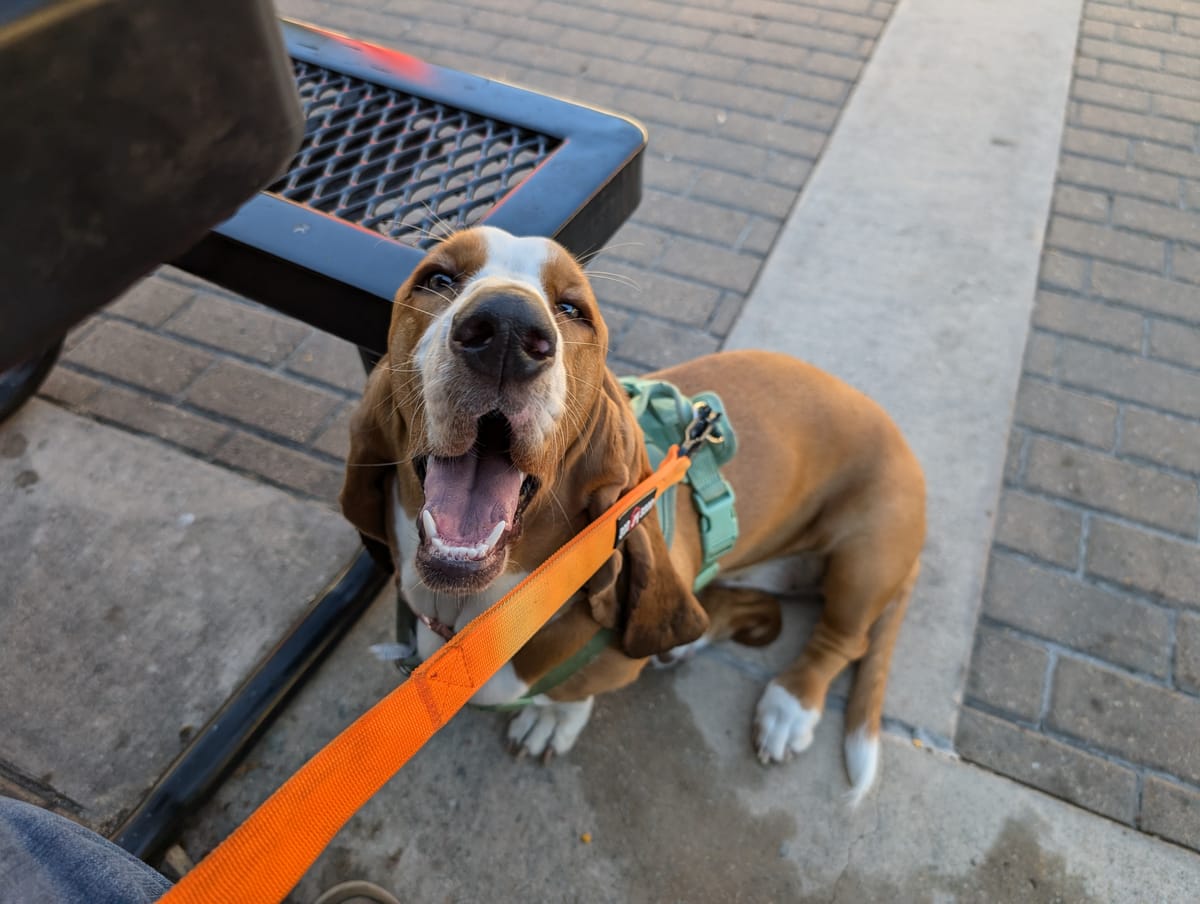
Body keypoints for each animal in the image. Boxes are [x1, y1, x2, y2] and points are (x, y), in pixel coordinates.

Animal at [343, 224, 921, 797]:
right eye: (438, 279)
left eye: (572, 309)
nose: (506, 327)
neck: (480, 616)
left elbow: (575, 696)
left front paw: (552, 720)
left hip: (865, 561)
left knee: (842, 641)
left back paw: (789, 707)